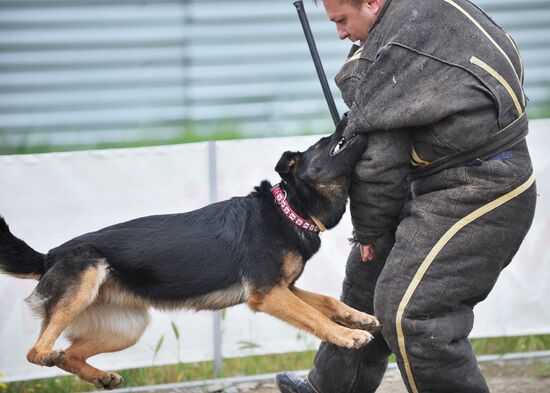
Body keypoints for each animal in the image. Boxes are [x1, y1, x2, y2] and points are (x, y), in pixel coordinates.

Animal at [0, 123, 380, 388]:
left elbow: (327, 301)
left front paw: (358, 318)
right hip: (87, 276)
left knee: (71, 353)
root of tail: (50, 255)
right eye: (323, 143)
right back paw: (51, 356)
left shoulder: (284, 289)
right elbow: (315, 317)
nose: (346, 115)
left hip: (128, 328)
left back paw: (99, 376)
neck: (289, 211)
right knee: (37, 351)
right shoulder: (269, 294)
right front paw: (348, 336)